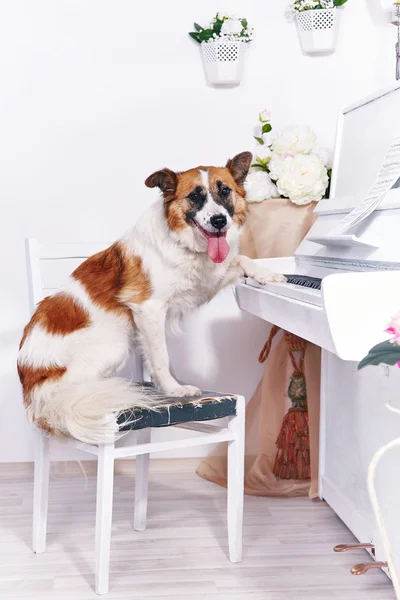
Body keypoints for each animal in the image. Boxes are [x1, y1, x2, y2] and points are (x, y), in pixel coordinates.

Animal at [18, 154, 284, 446]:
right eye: (194, 196)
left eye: (224, 191)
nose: (218, 221)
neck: (183, 241)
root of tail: (32, 388)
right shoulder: (149, 310)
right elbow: (160, 355)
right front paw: (174, 388)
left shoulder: (201, 285)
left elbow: (240, 259)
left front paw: (267, 274)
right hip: (114, 345)